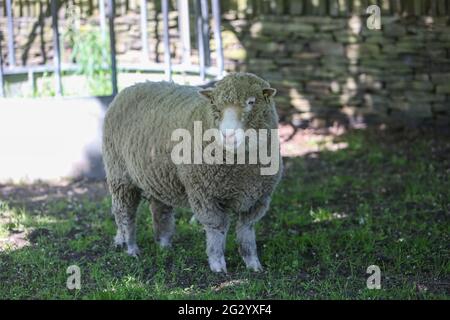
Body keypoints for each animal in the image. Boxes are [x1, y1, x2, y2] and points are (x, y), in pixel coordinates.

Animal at [103, 72, 284, 272]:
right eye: (215, 105)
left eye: (251, 102)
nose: (228, 135)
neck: (242, 168)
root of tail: (127, 89)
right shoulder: (205, 194)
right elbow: (216, 229)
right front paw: (217, 264)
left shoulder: (258, 199)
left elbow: (246, 232)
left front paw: (253, 264)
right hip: (120, 174)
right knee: (124, 212)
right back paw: (130, 247)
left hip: (157, 176)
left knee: (159, 209)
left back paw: (161, 244)